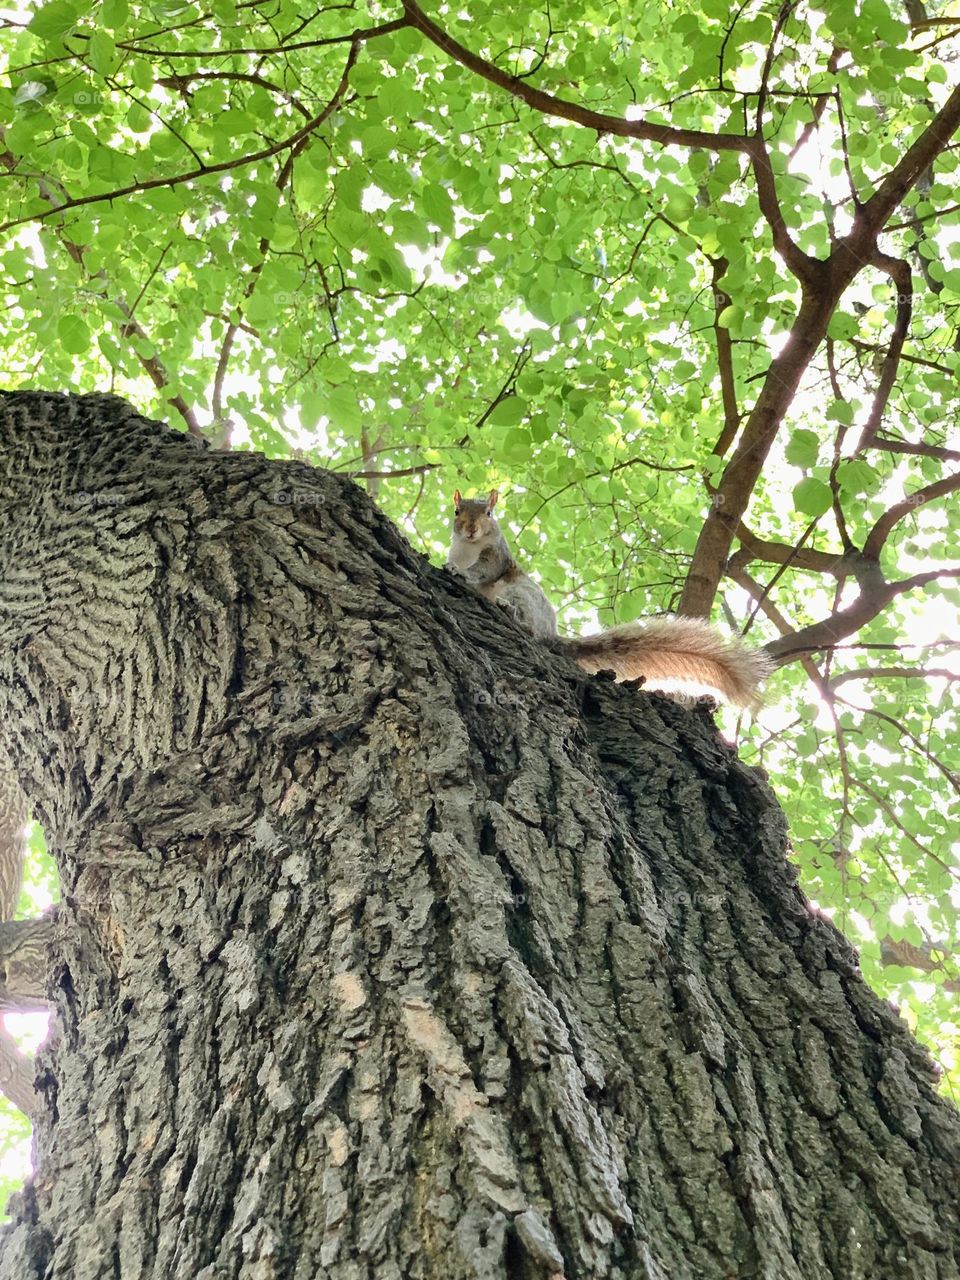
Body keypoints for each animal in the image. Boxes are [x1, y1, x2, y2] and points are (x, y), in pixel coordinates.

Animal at [448, 488, 773, 711]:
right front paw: (452, 565)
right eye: (457, 512)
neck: (469, 548)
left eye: (489, 513)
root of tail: (553, 634)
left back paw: (510, 611)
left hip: (522, 595)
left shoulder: (496, 558)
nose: (470, 528)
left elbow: (481, 570)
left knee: (529, 626)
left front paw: (458, 572)